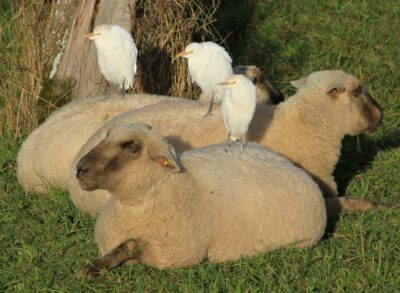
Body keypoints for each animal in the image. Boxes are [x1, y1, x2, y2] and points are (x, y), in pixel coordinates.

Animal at [76, 122, 328, 276]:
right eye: (106, 136)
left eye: (131, 146)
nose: (80, 169)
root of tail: (291, 164)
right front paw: (95, 266)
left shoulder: (173, 254)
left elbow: (130, 246)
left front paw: (91, 268)